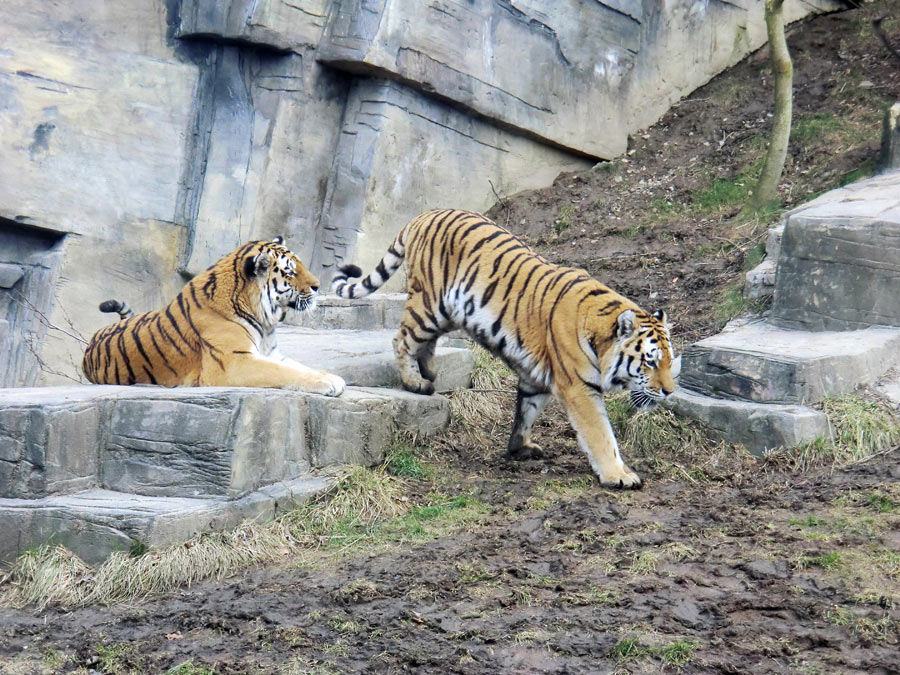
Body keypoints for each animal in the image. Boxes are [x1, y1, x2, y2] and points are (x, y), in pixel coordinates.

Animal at [82, 238, 346, 396]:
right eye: (290, 271)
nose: (317, 286)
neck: (264, 320)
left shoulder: (272, 354)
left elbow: (299, 367)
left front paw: (330, 376)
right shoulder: (233, 362)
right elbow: (286, 372)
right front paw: (330, 382)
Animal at [332, 209, 676, 488]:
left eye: (670, 362)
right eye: (649, 361)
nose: (670, 391)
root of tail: (424, 215)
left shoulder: (537, 376)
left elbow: (526, 410)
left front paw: (519, 447)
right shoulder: (579, 388)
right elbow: (601, 434)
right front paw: (619, 475)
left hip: (447, 314)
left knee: (425, 343)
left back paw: (428, 371)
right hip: (428, 306)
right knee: (401, 339)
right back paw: (414, 382)